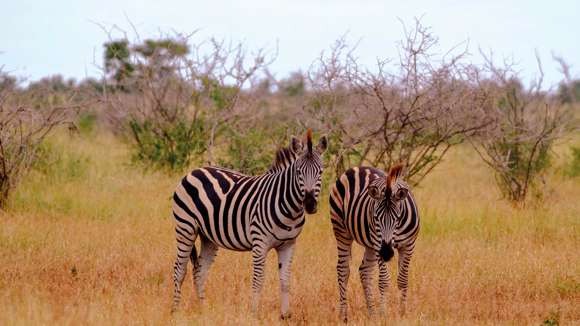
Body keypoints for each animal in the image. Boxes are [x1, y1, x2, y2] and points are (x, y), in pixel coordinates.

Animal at [171, 129, 326, 318]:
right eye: (298, 172)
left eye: (320, 172)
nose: (310, 205)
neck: (290, 210)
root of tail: (195, 170)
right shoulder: (260, 243)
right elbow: (258, 279)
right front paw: (254, 313)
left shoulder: (288, 244)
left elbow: (285, 280)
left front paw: (285, 315)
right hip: (185, 228)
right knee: (180, 269)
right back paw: (175, 310)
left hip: (208, 237)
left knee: (199, 271)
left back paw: (203, 310)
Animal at [328, 164, 420, 322]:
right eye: (376, 217)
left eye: (398, 217)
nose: (387, 253)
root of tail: (356, 167)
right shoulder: (378, 243)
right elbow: (383, 280)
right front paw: (383, 314)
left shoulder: (409, 245)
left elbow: (403, 279)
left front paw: (402, 313)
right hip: (341, 230)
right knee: (343, 270)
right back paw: (344, 315)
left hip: (370, 244)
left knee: (364, 271)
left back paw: (371, 313)